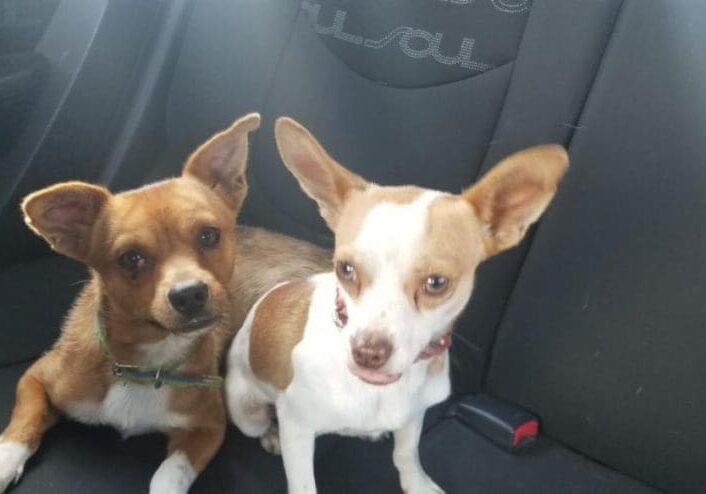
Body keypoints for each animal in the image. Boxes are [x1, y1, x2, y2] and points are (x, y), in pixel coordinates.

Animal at [0, 113, 330, 494]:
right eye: (131, 258)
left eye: (208, 235)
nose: (189, 294)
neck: (145, 362)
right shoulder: (36, 378)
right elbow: (23, 424)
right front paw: (4, 462)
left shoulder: (207, 428)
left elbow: (168, 475)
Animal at [226, 117, 568, 492]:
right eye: (345, 269)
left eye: (437, 283)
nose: (367, 353)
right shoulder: (298, 429)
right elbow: (304, 484)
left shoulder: (415, 414)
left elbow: (406, 454)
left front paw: (416, 483)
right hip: (244, 410)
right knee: (261, 423)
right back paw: (270, 434)